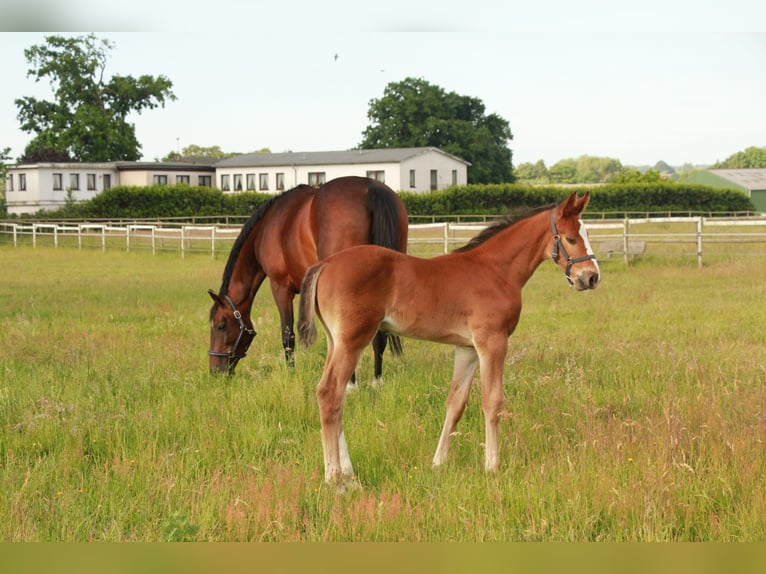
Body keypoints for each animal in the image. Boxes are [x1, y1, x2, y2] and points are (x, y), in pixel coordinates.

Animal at [208, 175, 408, 379]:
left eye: (220, 326)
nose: (215, 371)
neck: (267, 227)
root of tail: (371, 187)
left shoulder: (280, 287)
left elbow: (288, 336)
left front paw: (290, 374)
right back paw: (377, 380)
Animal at [298, 192, 600, 487]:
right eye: (571, 238)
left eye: (586, 233)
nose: (591, 277)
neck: (496, 270)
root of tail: (325, 263)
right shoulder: (492, 342)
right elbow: (492, 402)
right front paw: (492, 466)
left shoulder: (466, 349)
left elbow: (455, 403)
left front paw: (438, 463)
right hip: (352, 340)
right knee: (329, 393)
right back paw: (335, 478)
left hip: (336, 341)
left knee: (336, 398)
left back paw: (348, 474)